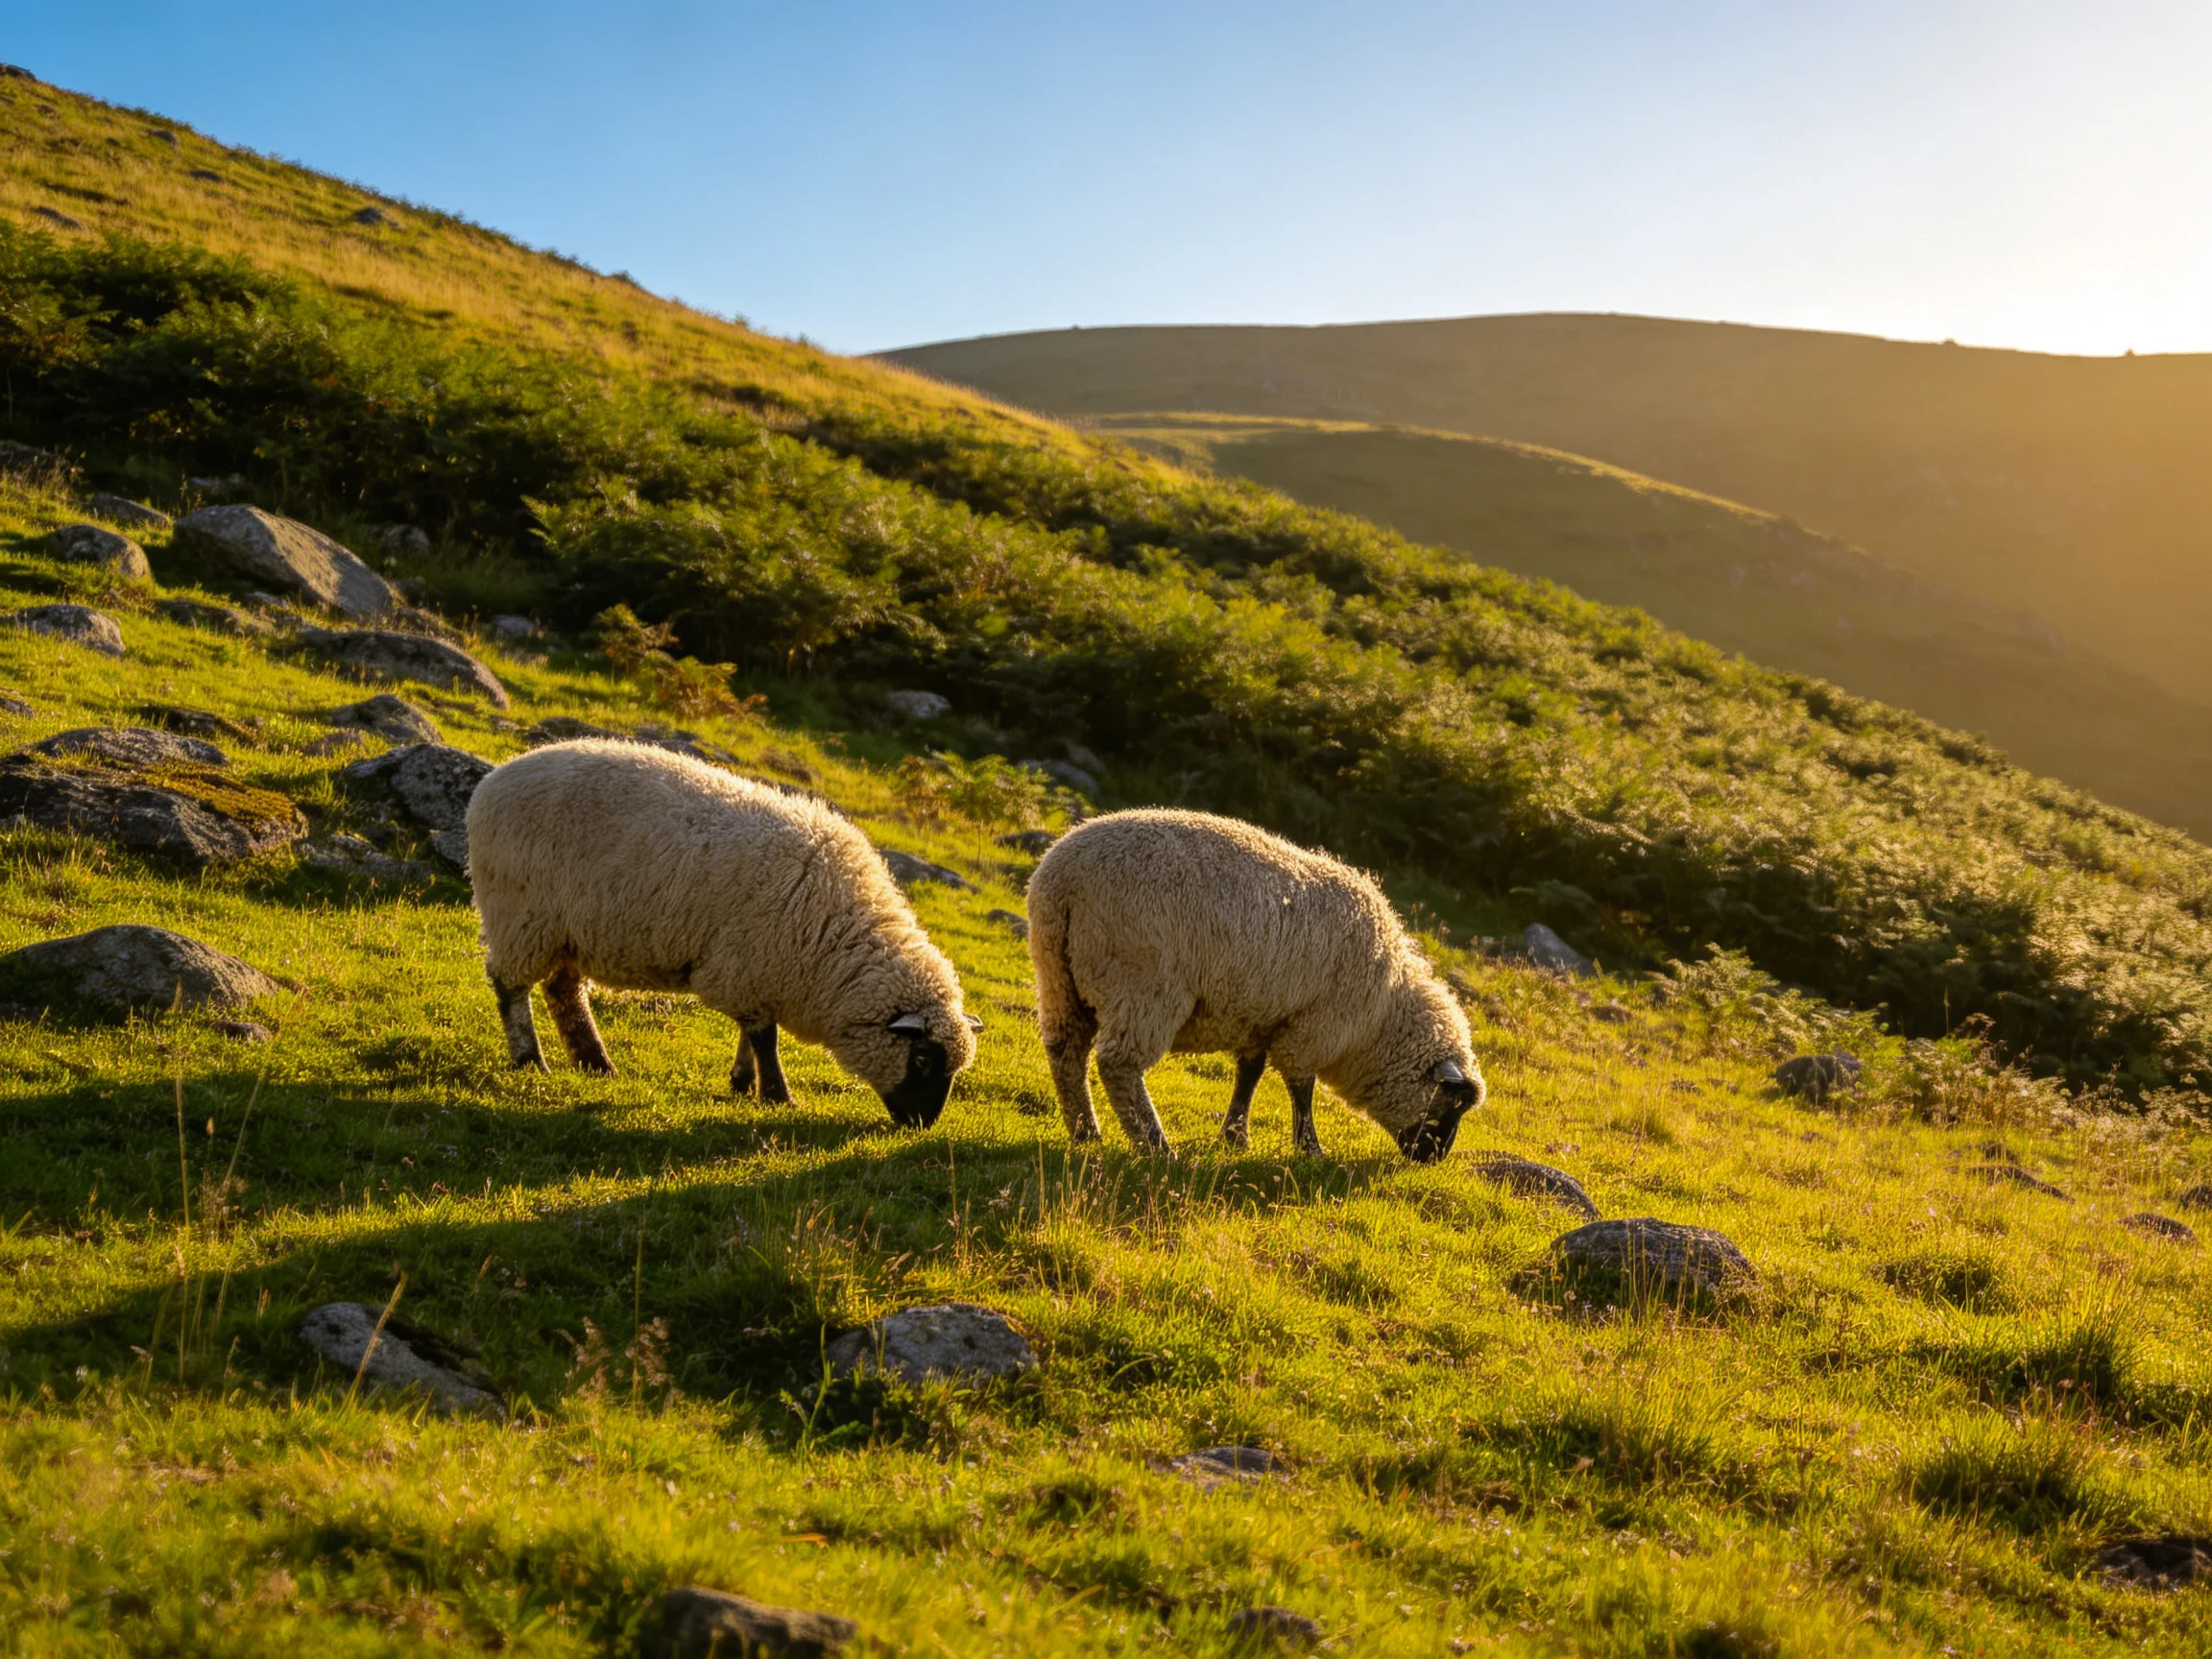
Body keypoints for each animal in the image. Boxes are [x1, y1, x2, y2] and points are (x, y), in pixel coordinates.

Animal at [466, 739, 978, 1127]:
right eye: (923, 1060)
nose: (923, 1124)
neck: (833, 939)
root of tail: (492, 782)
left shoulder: (759, 970)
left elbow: (753, 1034)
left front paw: (742, 1082)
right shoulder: (750, 964)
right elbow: (766, 1038)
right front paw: (776, 1095)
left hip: (566, 930)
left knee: (563, 991)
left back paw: (595, 1063)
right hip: (521, 914)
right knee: (510, 987)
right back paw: (530, 1059)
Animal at [1026, 808, 1483, 1160]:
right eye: (1452, 1102)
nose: (1435, 1158)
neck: (1381, 1014)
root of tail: (1065, 881)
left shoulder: (1260, 1018)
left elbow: (1250, 1075)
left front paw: (1235, 1137)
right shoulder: (1314, 1026)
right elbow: (1301, 1088)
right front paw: (1310, 1149)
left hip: (1058, 976)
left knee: (1065, 1051)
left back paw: (1086, 1132)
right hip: (1142, 986)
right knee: (1117, 1064)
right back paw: (1155, 1145)